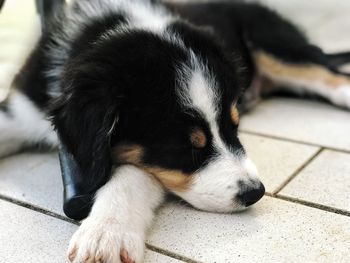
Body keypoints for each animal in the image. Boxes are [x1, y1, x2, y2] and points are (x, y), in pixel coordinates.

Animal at [0, 0, 350, 263]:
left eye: (235, 126)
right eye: (186, 145)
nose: (255, 192)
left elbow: (131, 174)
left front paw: (107, 233)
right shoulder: (21, 106)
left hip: (273, 44)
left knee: (326, 73)